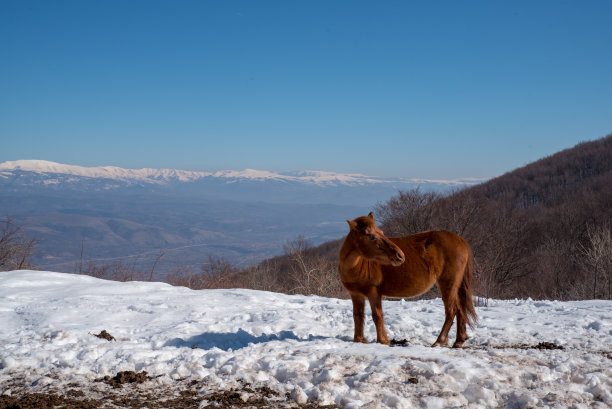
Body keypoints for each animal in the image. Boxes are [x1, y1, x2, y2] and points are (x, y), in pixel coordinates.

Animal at [340, 212, 478, 346]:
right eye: (372, 236)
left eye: (382, 233)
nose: (400, 255)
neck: (357, 265)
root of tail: (460, 240)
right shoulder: (356, 294)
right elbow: (358, 316)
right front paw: (359, 340)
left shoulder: (374, 292)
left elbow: (377, 316)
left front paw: (383, 341)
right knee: (460, 309)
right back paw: (459, 341)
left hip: (448, 284)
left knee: (451, 311)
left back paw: (439, 341)